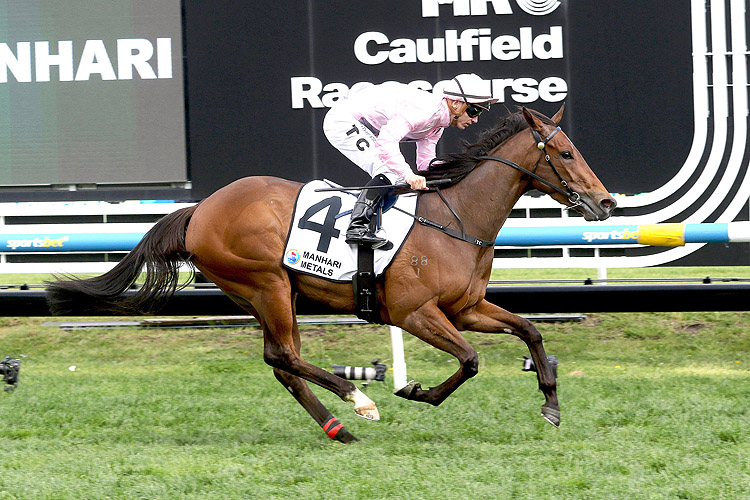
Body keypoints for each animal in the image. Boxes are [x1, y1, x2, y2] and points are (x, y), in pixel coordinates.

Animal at [47, 105, 616, 442]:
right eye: (565, 152)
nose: (606, 202)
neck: (457, 220)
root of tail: (200, 208)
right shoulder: (414, 312)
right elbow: (471, 360)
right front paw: (416, 392)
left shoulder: (466, 308)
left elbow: (530, 330)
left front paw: (551, 406)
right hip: (267, 284)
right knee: (282, 356)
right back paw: (358, 401)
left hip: (272, 295)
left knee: (282, 362)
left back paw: (339, 428)